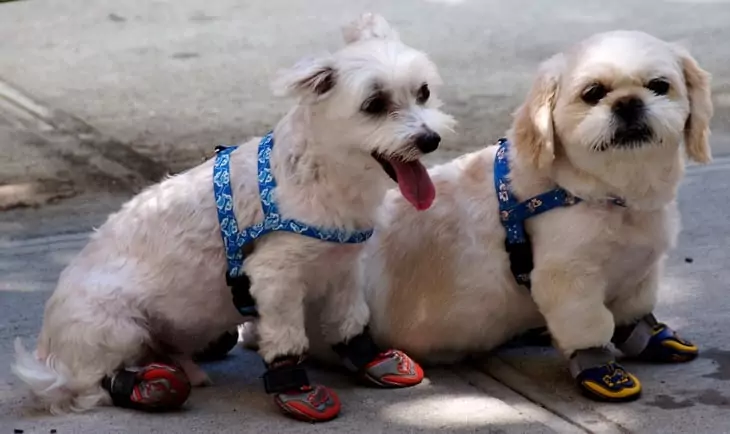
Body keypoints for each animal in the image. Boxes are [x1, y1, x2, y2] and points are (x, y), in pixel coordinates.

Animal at [11, 12, 452, 420]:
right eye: (374, 105)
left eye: (423, 92)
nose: (430, 140)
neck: (320, 172)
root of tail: (50, 354)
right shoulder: (275, 277)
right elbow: (286, 336)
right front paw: (296, 390)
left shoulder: (344, 268)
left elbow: (350, 321)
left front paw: (372, 361)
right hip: (116, 327)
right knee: (94, 384)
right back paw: (149, 387)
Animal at [356, 30, 708, 404]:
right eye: (593, 93)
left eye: (659, 85)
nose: (628, 102)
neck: (610, 194)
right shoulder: (567, 281)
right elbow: (588, 325)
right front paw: (601, 369)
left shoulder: (641, 271)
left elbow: (634, 310)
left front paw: (651, 336)